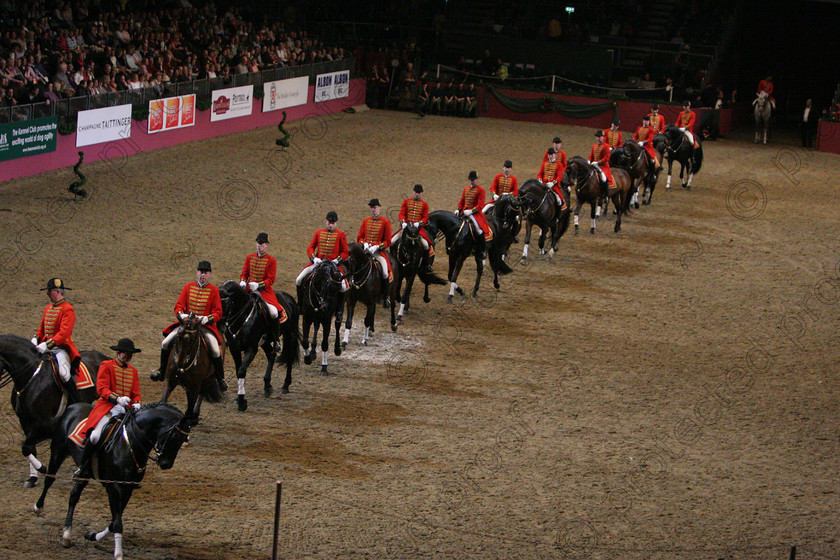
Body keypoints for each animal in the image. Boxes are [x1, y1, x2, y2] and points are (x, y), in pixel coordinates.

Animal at [0, 334, 106, 488]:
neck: (32, 376)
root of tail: (102, 356)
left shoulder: (44, 423)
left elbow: (26, 447)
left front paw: (42, 468)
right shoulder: (24, 420)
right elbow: (29, 448)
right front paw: (32, 478)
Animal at [55, 402, 190, 560]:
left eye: (184, 440)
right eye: (174, 436)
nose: (165, 464)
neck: (129, 444)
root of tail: (73, 405)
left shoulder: (128, 489)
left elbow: (114, 521)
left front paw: (93, 536)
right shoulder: (113, 487)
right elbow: (118, 523)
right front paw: (118, 554)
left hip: (85, 475)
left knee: (74, 495)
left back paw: (66, 534)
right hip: (58, 452)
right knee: (50, 481)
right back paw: (55, 524)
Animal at [220, 282, 302, 410]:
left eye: (226, 304)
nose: (221, 327)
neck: (245, 317)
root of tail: (289, 297)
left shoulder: (251, 349)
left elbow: (242, 371)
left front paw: (242, 401)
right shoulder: (235, 349)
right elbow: (238, 371)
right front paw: (238, 398)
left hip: (290, 335)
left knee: (289, 357)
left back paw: (285, 386)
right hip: (265, 341)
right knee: (271, 355)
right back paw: (267, 386)